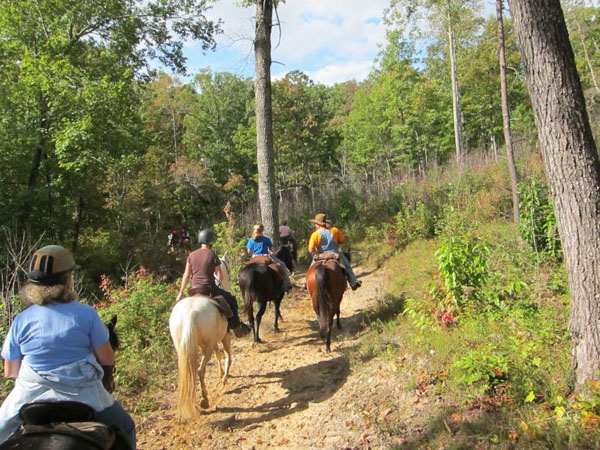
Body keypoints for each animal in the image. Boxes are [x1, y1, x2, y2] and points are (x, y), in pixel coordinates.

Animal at [171, 255, 234, 420]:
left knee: (191, 372)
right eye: (226, 265)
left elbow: (219, 355)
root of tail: (189, 313)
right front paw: (224, 377)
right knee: (200, 371)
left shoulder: (207, 343)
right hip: (209, 344)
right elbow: (227, 356)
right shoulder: (225, 336)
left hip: (184, 347)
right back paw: (205, 399)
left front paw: (221, 374)